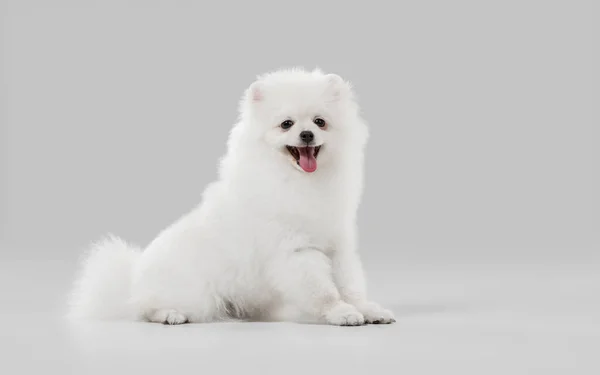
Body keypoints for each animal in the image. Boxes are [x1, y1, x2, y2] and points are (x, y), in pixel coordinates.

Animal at [68, 67, 396, 326]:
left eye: (320, 122)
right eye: (287, 124)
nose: (306, 135)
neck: (302, 183)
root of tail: (132, 278)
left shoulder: (338, 246)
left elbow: (351, 285)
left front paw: (368, 310)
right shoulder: (296, 252)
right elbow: (324, 291)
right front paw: (342, 313)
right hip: (193, 294)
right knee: (146, 308)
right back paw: (170, 314)